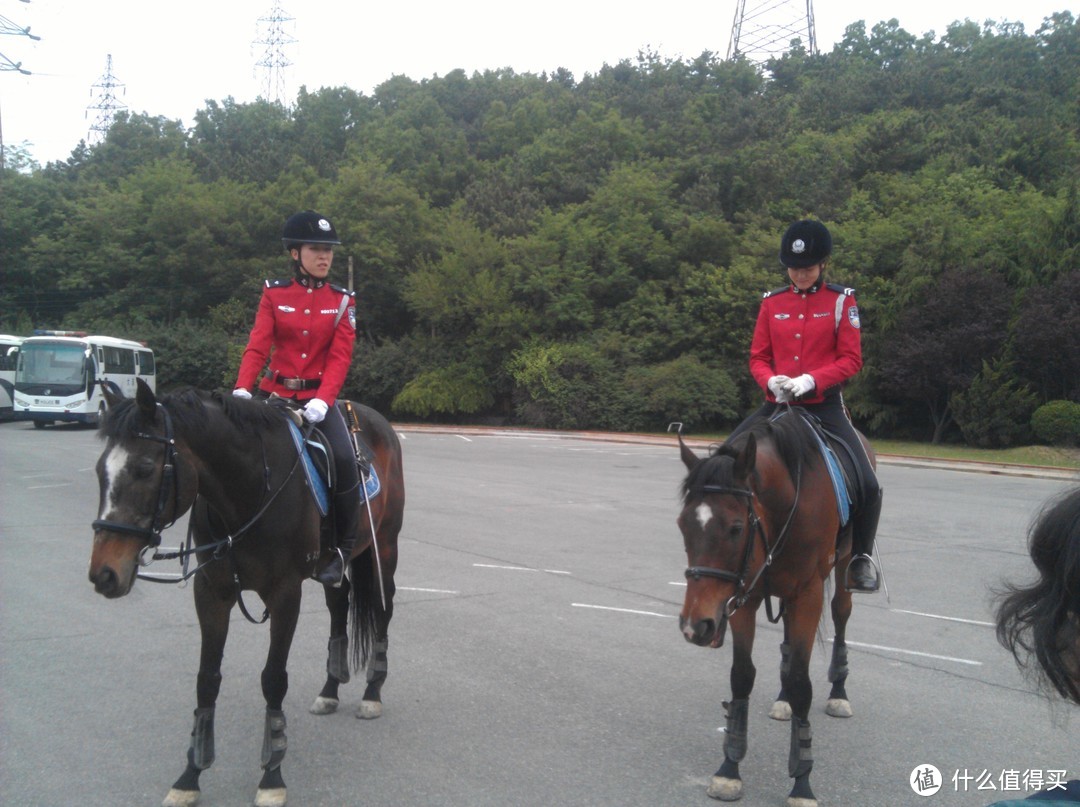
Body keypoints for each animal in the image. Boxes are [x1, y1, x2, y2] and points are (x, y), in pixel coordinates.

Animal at [87, 380, 406, 807]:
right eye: (100, 470)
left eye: (144, 469)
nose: (105, 574)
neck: (248, 487)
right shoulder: (212, 592)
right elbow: (206, 679)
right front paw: (190, 775)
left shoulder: (286, 596)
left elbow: (273, 679)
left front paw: (271, 774)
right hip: (333, 567)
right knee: (339, 606)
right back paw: (330, 689)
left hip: (384, 547)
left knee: (382, 611)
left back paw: (372, 692)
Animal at [673, 412, 868, 803]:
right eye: (683, 524)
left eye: (735, 528)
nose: (695, 625)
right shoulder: (744, 596)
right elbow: (742, 676)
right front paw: (729, 767)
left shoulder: (808, 594)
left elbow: (802, 682)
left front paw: (802, 781)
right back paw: (783, 698)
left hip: (840, 570)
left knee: (840, 613)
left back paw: (838, 691)